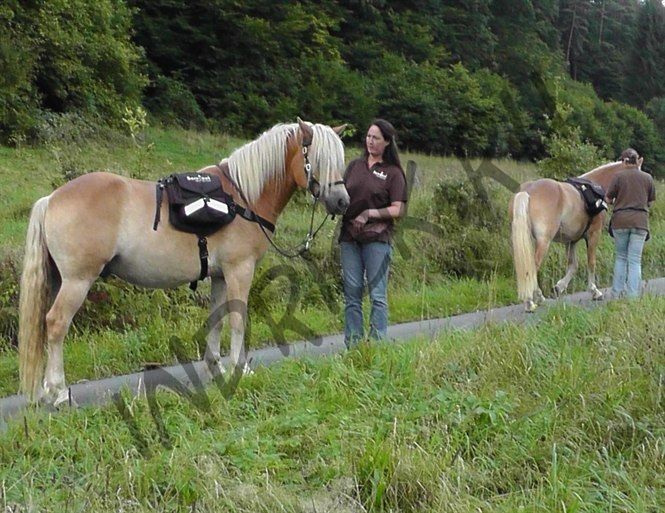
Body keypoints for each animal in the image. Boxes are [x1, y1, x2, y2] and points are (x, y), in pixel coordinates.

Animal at [18, 118, 349, 405]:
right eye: (318, 159)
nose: (343, 202)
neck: (241, 198)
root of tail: (52, 199)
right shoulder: (239, 270)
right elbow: (238, 319)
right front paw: (240, 369)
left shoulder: (219, 275)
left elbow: (217, 318)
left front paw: (215, 368)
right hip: (78, 281)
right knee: (57, 324)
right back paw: (58, 392)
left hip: (60, 281)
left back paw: (47, 389)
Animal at [509, 158, 640, 312]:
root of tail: (527, 191)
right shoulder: (593, 235)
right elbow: (591, 262)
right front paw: (594, 291)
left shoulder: (571, 241)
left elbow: (573, 265)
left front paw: (559, 287)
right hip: (543, 241)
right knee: (532, 268)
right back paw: (530, 302)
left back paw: (539, 298)